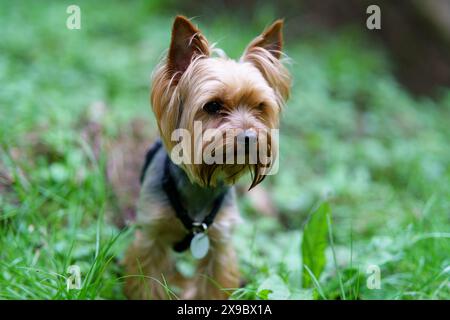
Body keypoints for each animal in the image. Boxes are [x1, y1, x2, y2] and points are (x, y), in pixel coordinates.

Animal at [124, 16, 292, 298]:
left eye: (260, 106)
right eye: (213, 106)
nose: (250, 137)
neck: (199, 186)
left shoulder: (219, 243)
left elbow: (213, 284)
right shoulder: (150, 235)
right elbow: (148, 282)